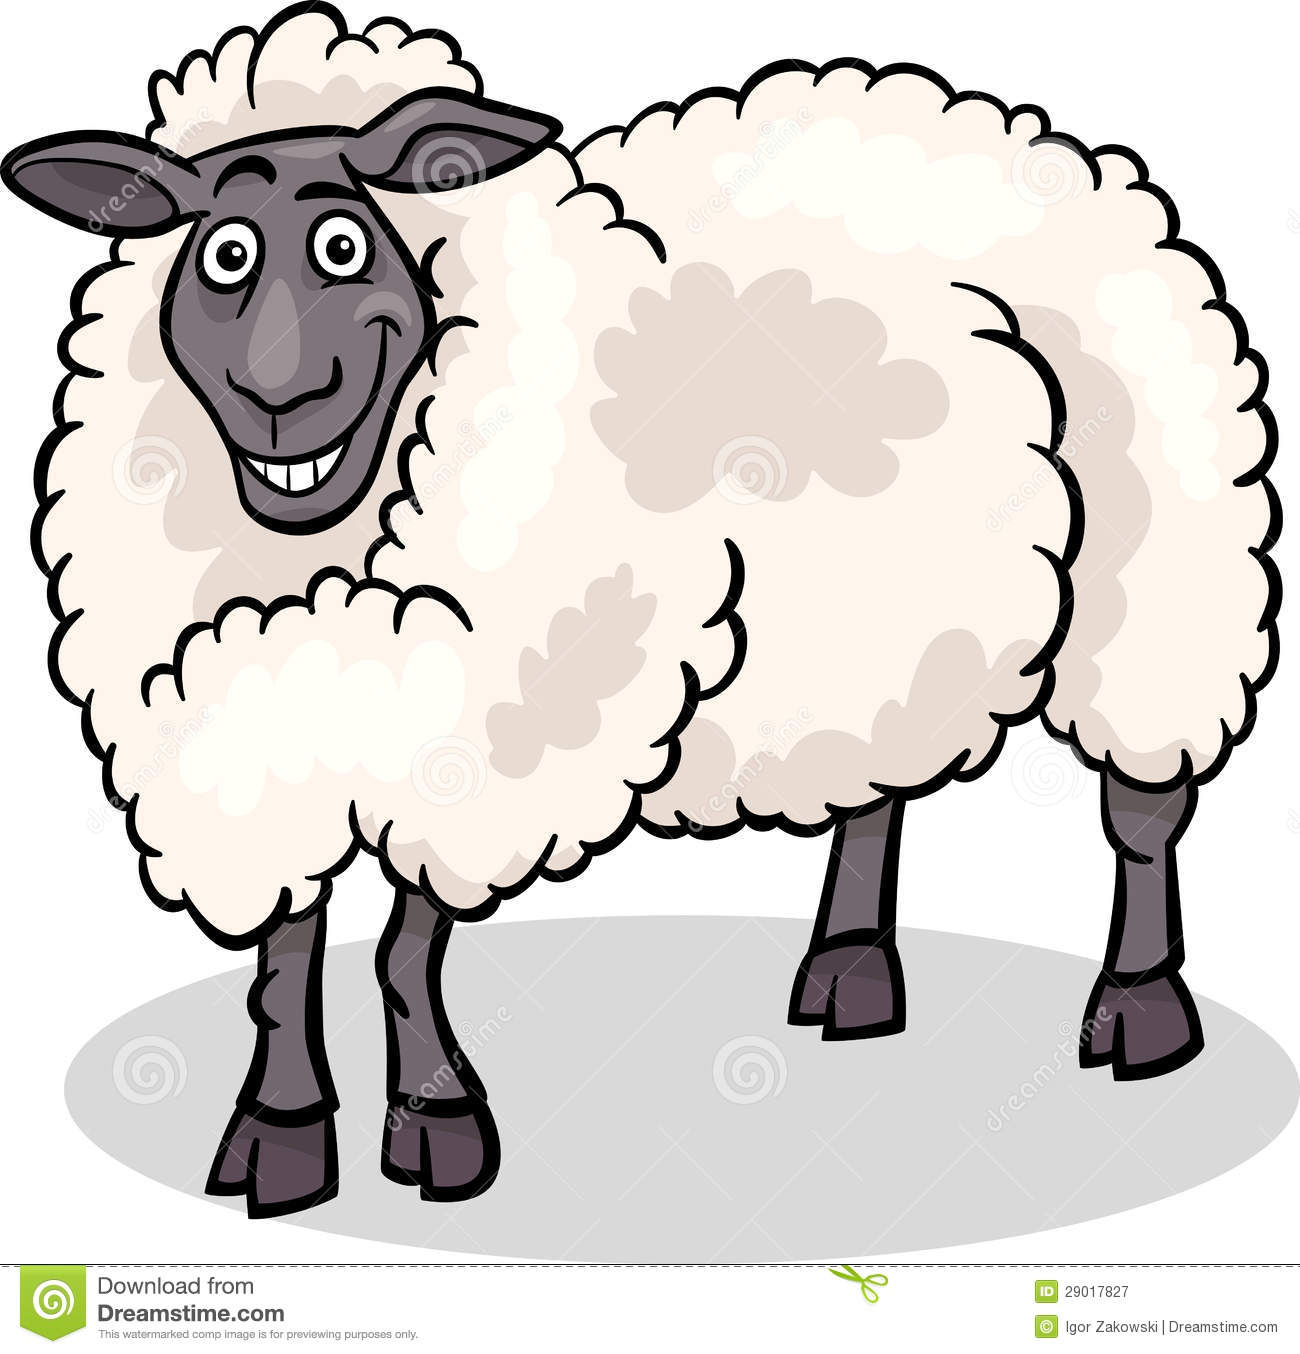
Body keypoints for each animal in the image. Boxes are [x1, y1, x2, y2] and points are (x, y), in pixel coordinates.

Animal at [3, 3, 1277, 1218]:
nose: (280, 398)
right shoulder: (250, 734)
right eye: (220, 253)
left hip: (1165, 584)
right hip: (886, 630)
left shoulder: (476, 737)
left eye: (342, 243)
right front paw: (278, 1135)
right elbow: (286, 953)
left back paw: (1138, 1007)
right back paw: (851, 969)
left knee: (1142, 811)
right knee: (879, 784)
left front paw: (437, 1121)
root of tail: (994, 127)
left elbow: (407, 948)